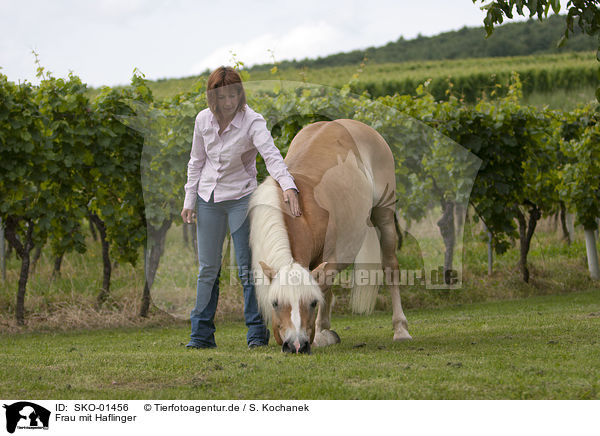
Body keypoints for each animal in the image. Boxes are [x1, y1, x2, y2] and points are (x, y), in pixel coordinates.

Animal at [250, 119, 412, 354]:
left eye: (311, 303)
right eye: (275, 303)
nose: (297, 345)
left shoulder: (329, 260)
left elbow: (322, 289)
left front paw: (321, 333)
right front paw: (324, 332)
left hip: (385, 217)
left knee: (391, 267)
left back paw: (400, 329)